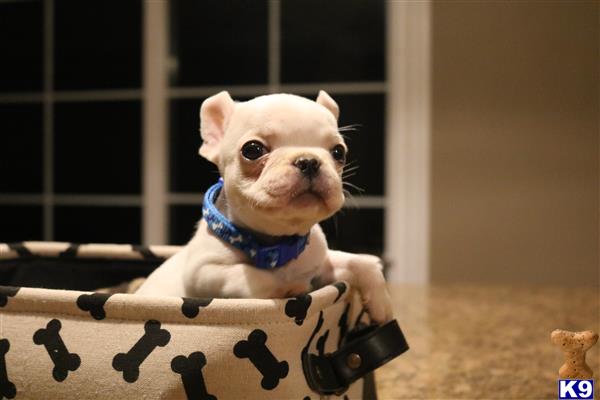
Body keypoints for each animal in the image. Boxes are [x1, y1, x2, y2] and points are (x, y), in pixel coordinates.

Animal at [138, 90, 396, 322]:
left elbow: (358, 262)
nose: (309, 161)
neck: (276, 245)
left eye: (339, 152)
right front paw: (290, 285)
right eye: (252, 150)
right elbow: (254, 276)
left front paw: (381, 302)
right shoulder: (204, 271)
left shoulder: (322, 262)